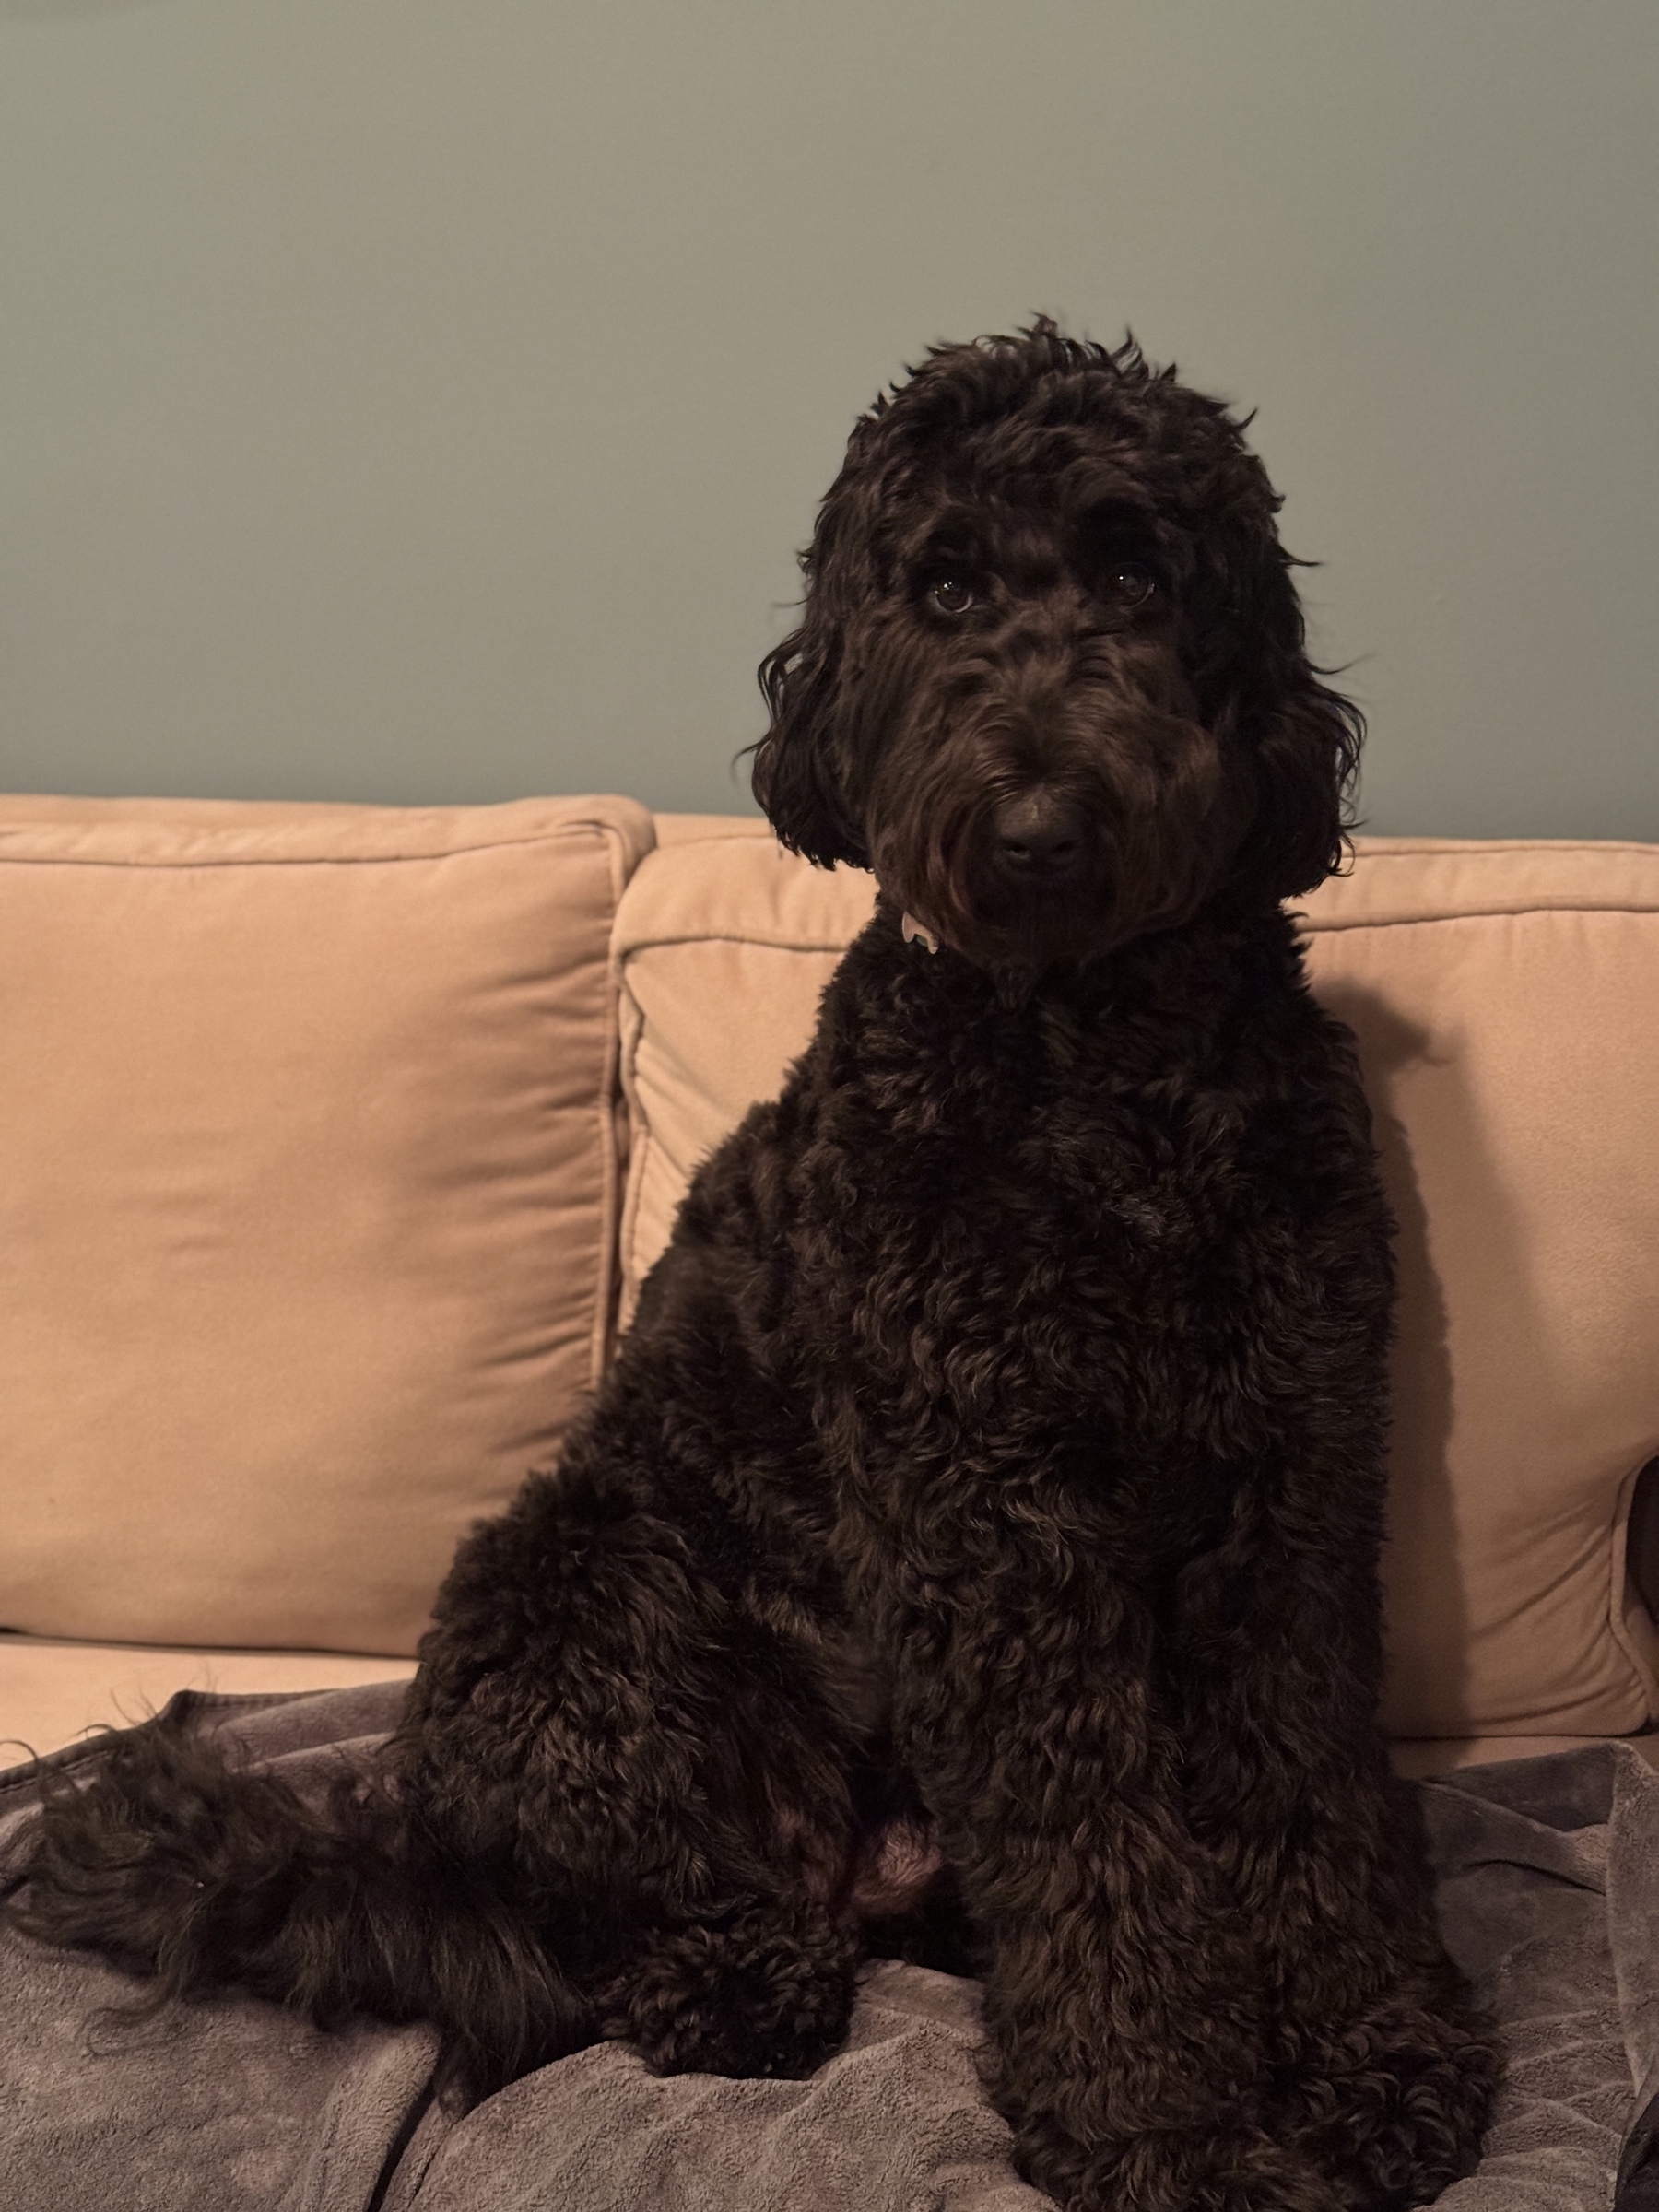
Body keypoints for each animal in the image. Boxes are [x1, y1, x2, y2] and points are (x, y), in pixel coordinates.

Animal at [6, 321, 1504, 2203]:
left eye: (1138, 573)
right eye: (943, 586)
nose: (1036, 819)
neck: (1094, 1066)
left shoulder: (1285, 1480)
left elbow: (1307, 1784)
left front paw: (1377, 2057)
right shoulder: (985, 1516)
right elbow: (1090, 1832)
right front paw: (1167, 2124)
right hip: (584, 1571)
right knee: (618, 1913)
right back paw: (735, 1979)